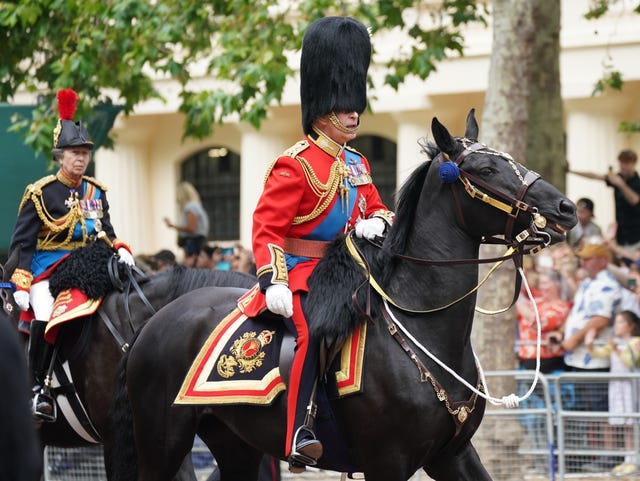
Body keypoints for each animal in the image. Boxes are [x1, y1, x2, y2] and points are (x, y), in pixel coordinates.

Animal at [107, 109, 576, 480]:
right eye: (485, 171)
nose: (566, 209)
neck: (422, 324)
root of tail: (153, 322)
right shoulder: (388, 462)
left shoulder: (452, 454)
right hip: (162, 442)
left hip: (234, 442)